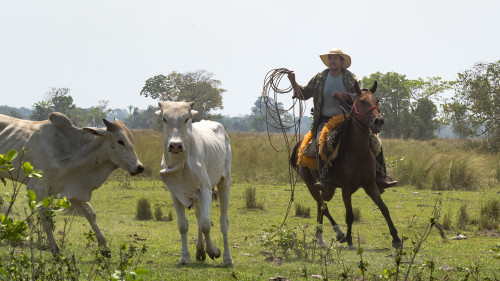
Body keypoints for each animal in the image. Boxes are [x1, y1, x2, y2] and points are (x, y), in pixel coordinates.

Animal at [157, 100, 233, 264]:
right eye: (165, 119)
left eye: (186, 119)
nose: (175, 145)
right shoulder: (175, 193)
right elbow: (183, 225)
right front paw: (185, 257)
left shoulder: (205, 189)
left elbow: (205, 224)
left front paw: (214, 251)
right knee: (198, 216)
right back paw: (200, 251)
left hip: (225, 180)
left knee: (223, 222)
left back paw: (227, 258)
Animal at [290, 80, 402, 247]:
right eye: (362, 101)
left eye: (377, 101)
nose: (379, 121)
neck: (358, 152)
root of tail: (300, 145)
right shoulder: (346, 189)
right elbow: (349, 215)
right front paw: (349, 240)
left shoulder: (370, 185)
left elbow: (384, 208)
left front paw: (396, 238)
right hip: (310, 183)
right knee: (323, 206)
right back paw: (339, 233)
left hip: (329, 188)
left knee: (321, 205)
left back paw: (320, 236)